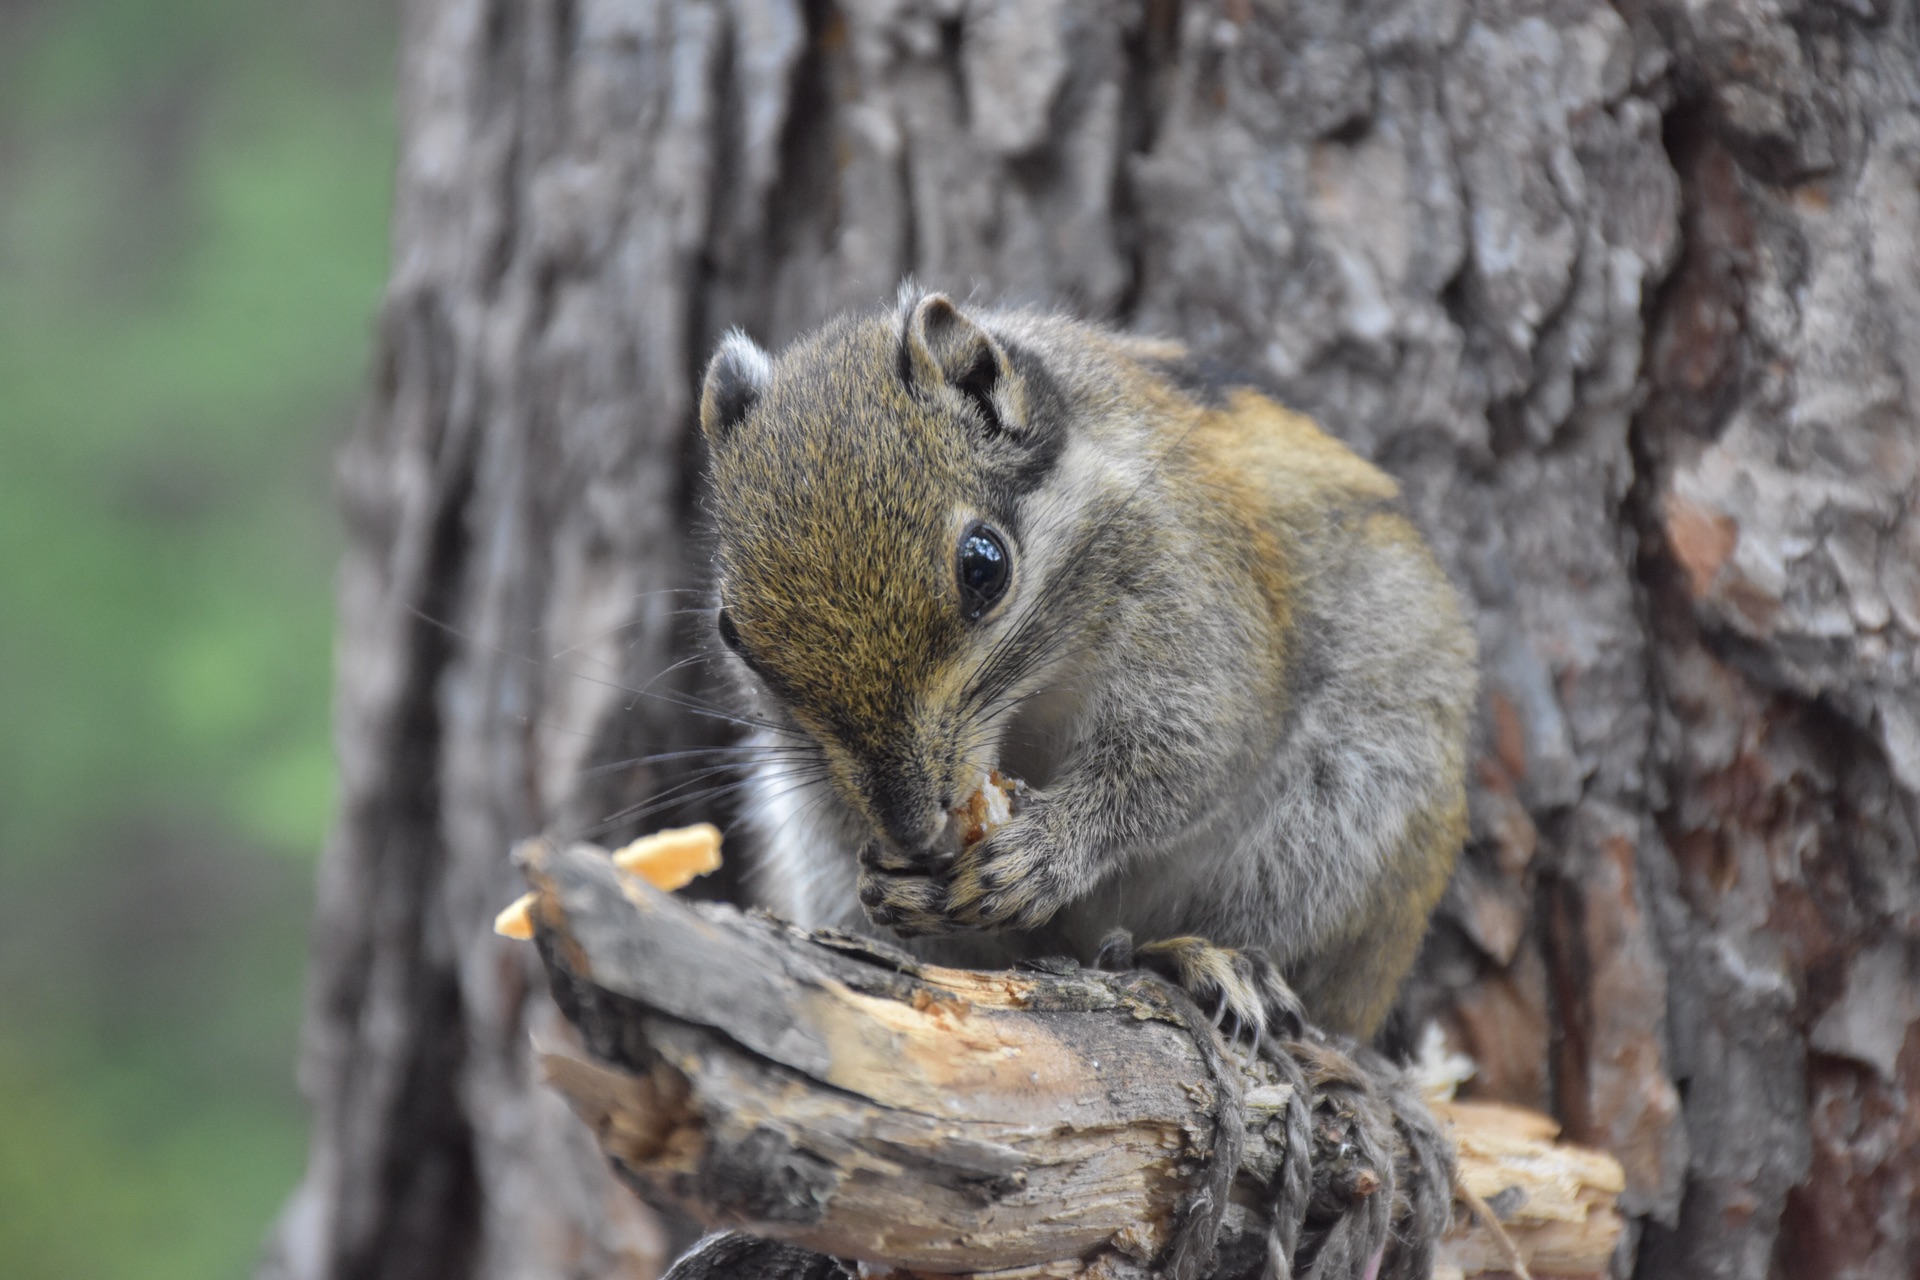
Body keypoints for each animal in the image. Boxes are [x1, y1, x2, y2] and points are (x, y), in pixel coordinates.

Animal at [698, 287, 1474, 1043]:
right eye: (731, 630)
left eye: (984, 565)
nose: (911, 828)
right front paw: (893, 880)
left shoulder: (1196, 606)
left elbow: (1182, 758)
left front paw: (1044, 851)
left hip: (1342, 827)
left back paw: (1212, 960)